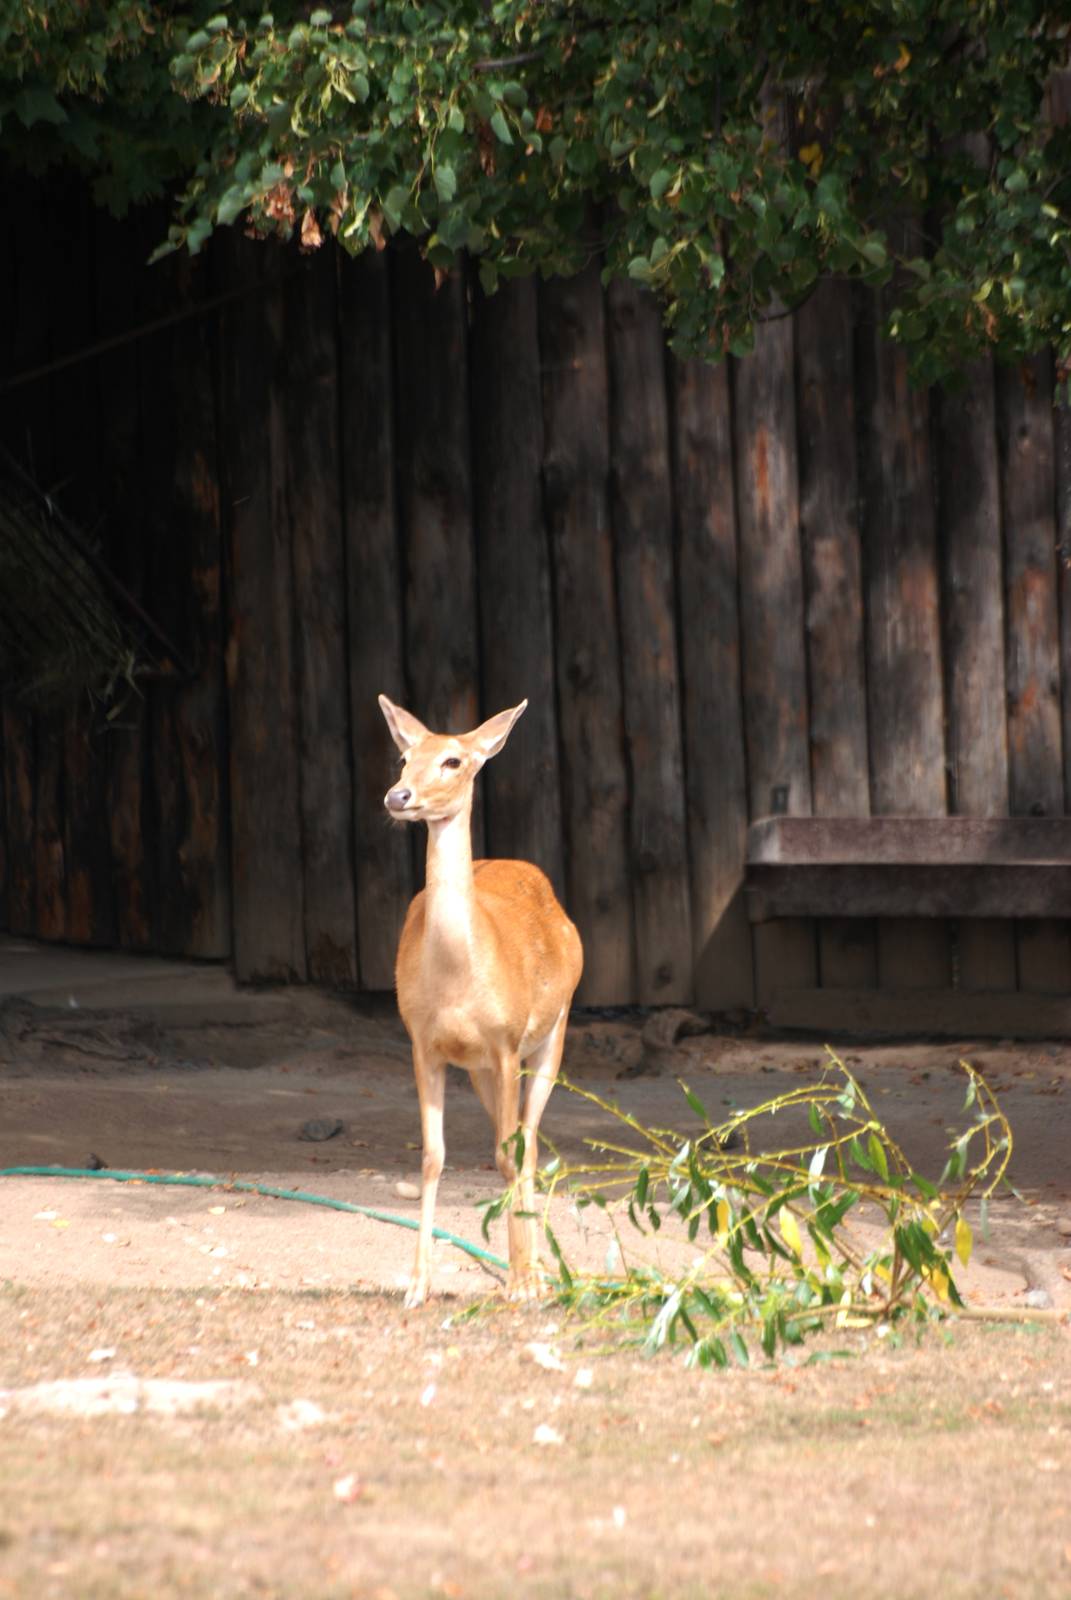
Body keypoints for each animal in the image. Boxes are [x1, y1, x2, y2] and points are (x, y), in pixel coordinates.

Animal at [378, 694, 584, 1307]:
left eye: (453, 760)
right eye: (404, 756)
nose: (398, 796)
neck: (456, 983)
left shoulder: (507, 1042)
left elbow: (508, 1153)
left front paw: (521, 1281)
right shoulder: (423, 1044)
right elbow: (433, 1158)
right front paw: (417, 1285)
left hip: (554, 1034)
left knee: (528, 1144)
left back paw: (536, 1274)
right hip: (480, 1072)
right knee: (514, 1145)